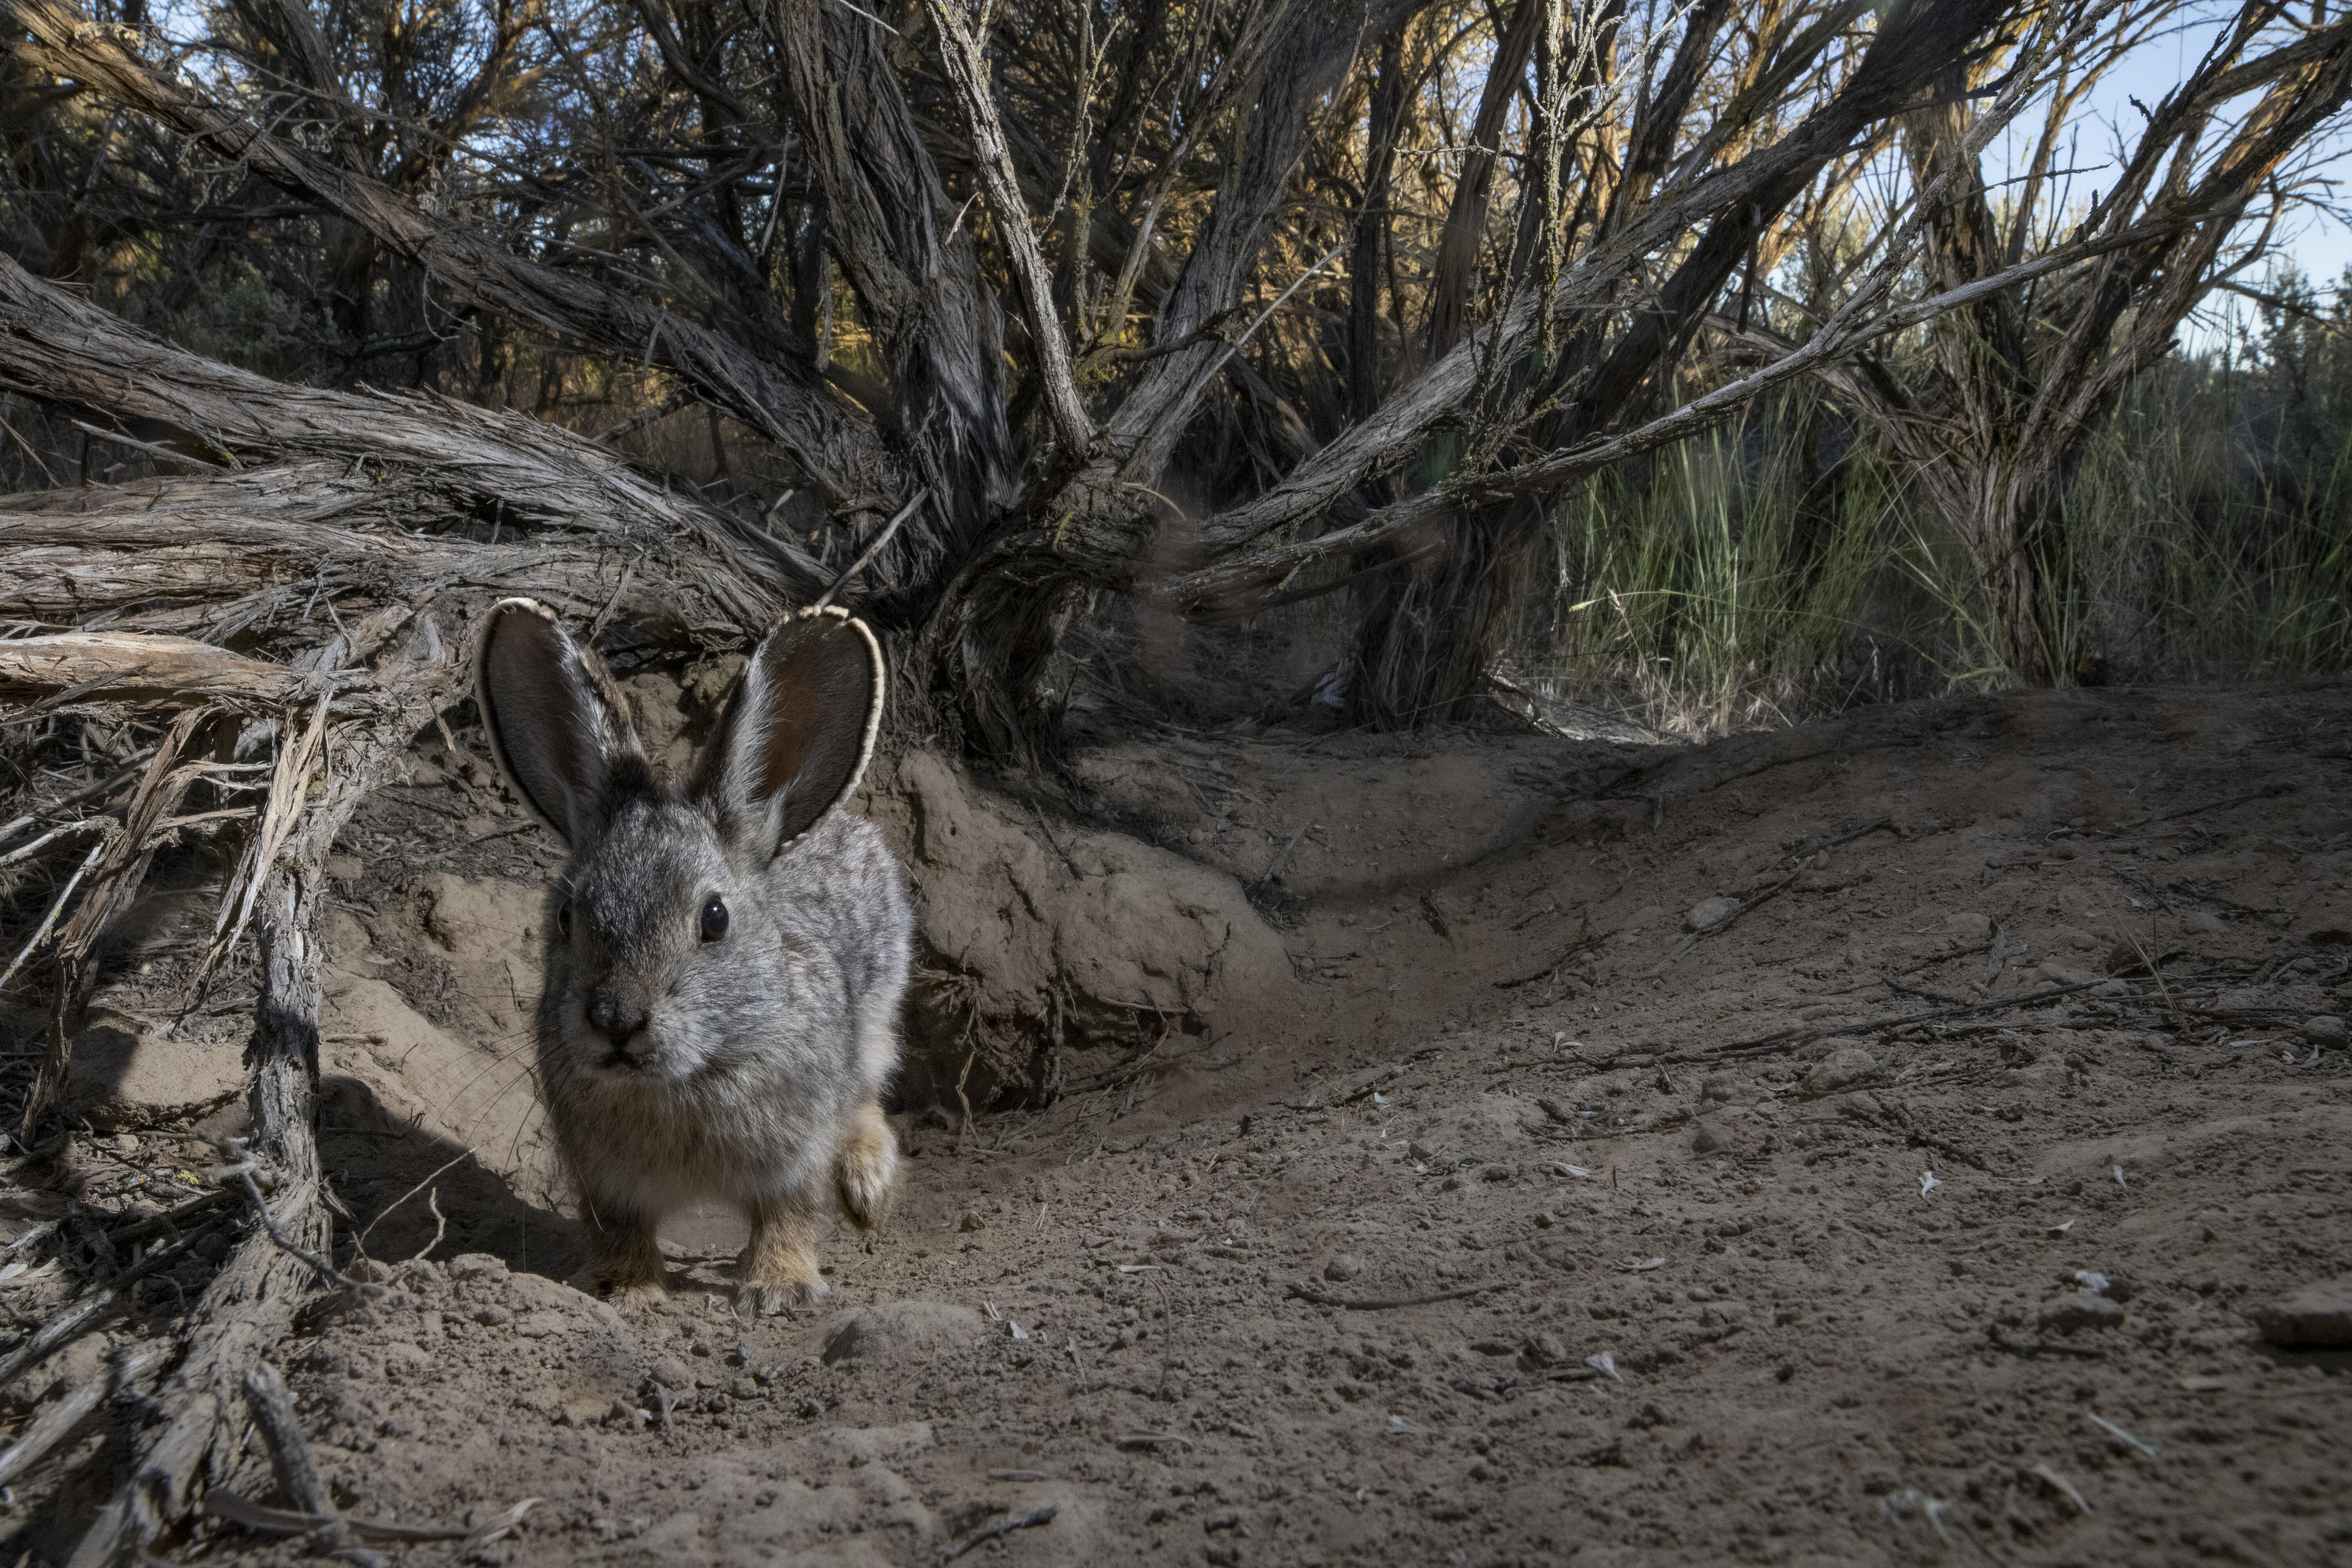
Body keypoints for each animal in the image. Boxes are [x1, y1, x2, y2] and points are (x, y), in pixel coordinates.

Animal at [475, 602, 908, 1316]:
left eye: (715, 919)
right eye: (567, 917)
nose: (616, 1020)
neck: (687, 1076)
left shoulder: (793, 1156)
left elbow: (790, 1214)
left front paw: (780, 1289)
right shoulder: (606, 1181)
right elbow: (619, 1229)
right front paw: (625, 1291)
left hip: (877, 1009)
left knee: (869, 1092)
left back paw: (868, 1190)